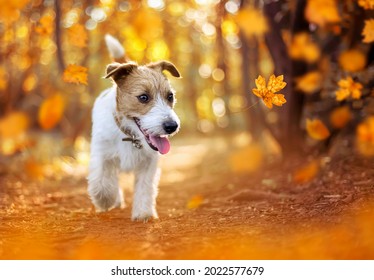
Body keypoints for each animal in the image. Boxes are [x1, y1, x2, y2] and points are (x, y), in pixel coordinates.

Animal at [87, 35, 181, 222]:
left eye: (170, 96)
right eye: (143, 97)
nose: (171, 126)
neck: (129, 136)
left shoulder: (148, 163)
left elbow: (145, 187)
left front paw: (143, 212)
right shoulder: (102, 154)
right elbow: (102, 180)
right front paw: (105, 200)